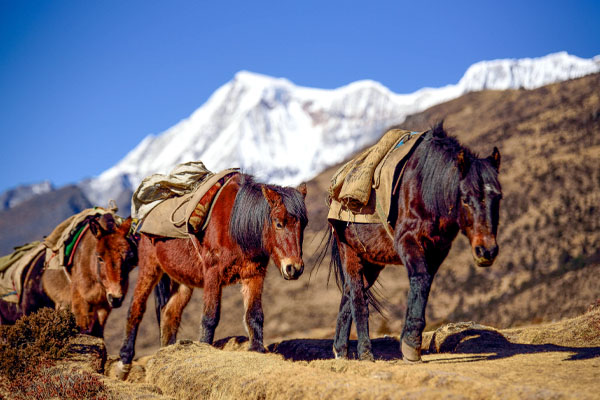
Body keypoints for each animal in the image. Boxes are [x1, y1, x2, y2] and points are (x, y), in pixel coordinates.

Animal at [116, 173, 308, 378]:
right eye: (279, 223)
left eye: (303, 225)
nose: (294, 268)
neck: (235, 225)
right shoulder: (212, 274)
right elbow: (210, 317)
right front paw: (204, 348)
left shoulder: (254, 274)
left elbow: (254, 314)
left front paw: (256, 350)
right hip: (149, 268)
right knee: (135, 309)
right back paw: (124, 363)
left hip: (183, 282)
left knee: (169, 313)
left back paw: (167, 354)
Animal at [326, 122, 500, 362]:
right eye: (466, 199)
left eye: (498, 197)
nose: (487, 251)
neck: (427, 187)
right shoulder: (407, 241)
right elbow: (420, 278)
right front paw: (410, 345)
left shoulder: (437, 250)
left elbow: (424, 284)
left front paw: (409, 340)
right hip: (349, 252)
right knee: (358, 298)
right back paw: (365, 352)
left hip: (371, 262)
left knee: (348, 295)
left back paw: (341, 351)